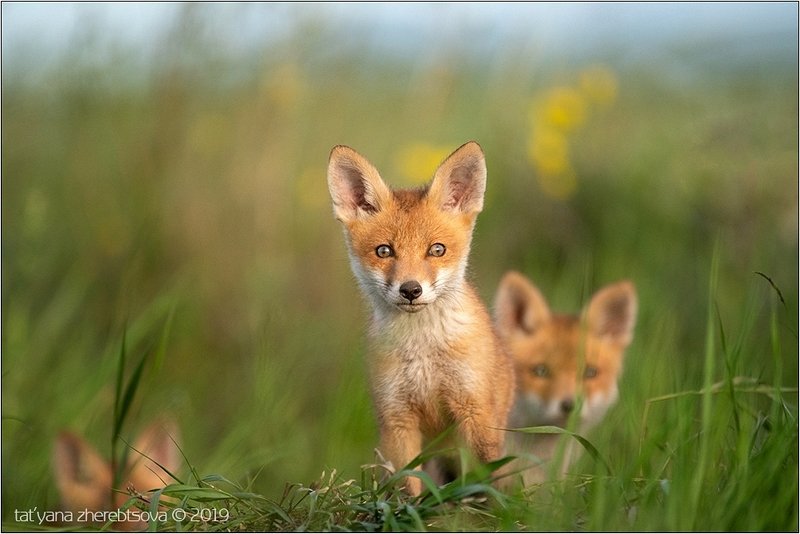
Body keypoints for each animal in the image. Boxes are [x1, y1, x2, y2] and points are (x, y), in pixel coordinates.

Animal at [326, 141, 515, 496]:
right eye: (384, 251)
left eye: (436, 250)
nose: (411, 289)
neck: (423, 351)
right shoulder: (397, 418)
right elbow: (405, 488)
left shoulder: (474, 410)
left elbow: (487, 477)